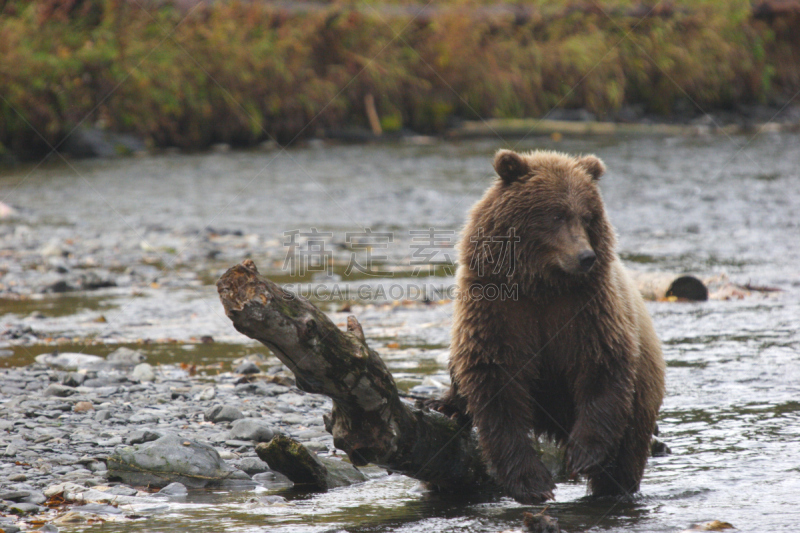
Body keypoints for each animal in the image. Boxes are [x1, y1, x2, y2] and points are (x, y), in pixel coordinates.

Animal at [434, 149, 664, 502]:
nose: (586, 256)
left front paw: (582, 455)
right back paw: (448, 405)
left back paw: (614, 489)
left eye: (587, 216)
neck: (542, 284)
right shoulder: (498, 308)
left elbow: (602, 364)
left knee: (625, 458)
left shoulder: (588, 309)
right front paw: (532, 481)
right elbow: (495, 381)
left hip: (642, 399)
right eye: (556, 215)